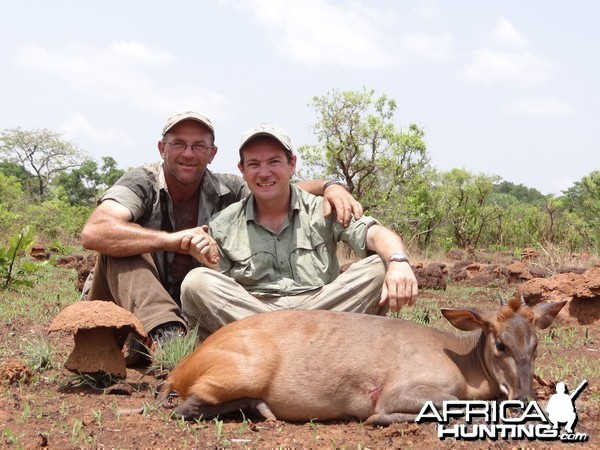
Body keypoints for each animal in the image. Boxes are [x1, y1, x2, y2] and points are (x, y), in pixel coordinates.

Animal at [154, 298, 564, 426]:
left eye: (535, 344)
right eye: (500, 344)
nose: (526, 398)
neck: (463, 363)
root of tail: (186, 365)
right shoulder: (401, 389)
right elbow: (451, 405)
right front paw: (379, 419)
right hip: (244, 371)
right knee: (186, 408)